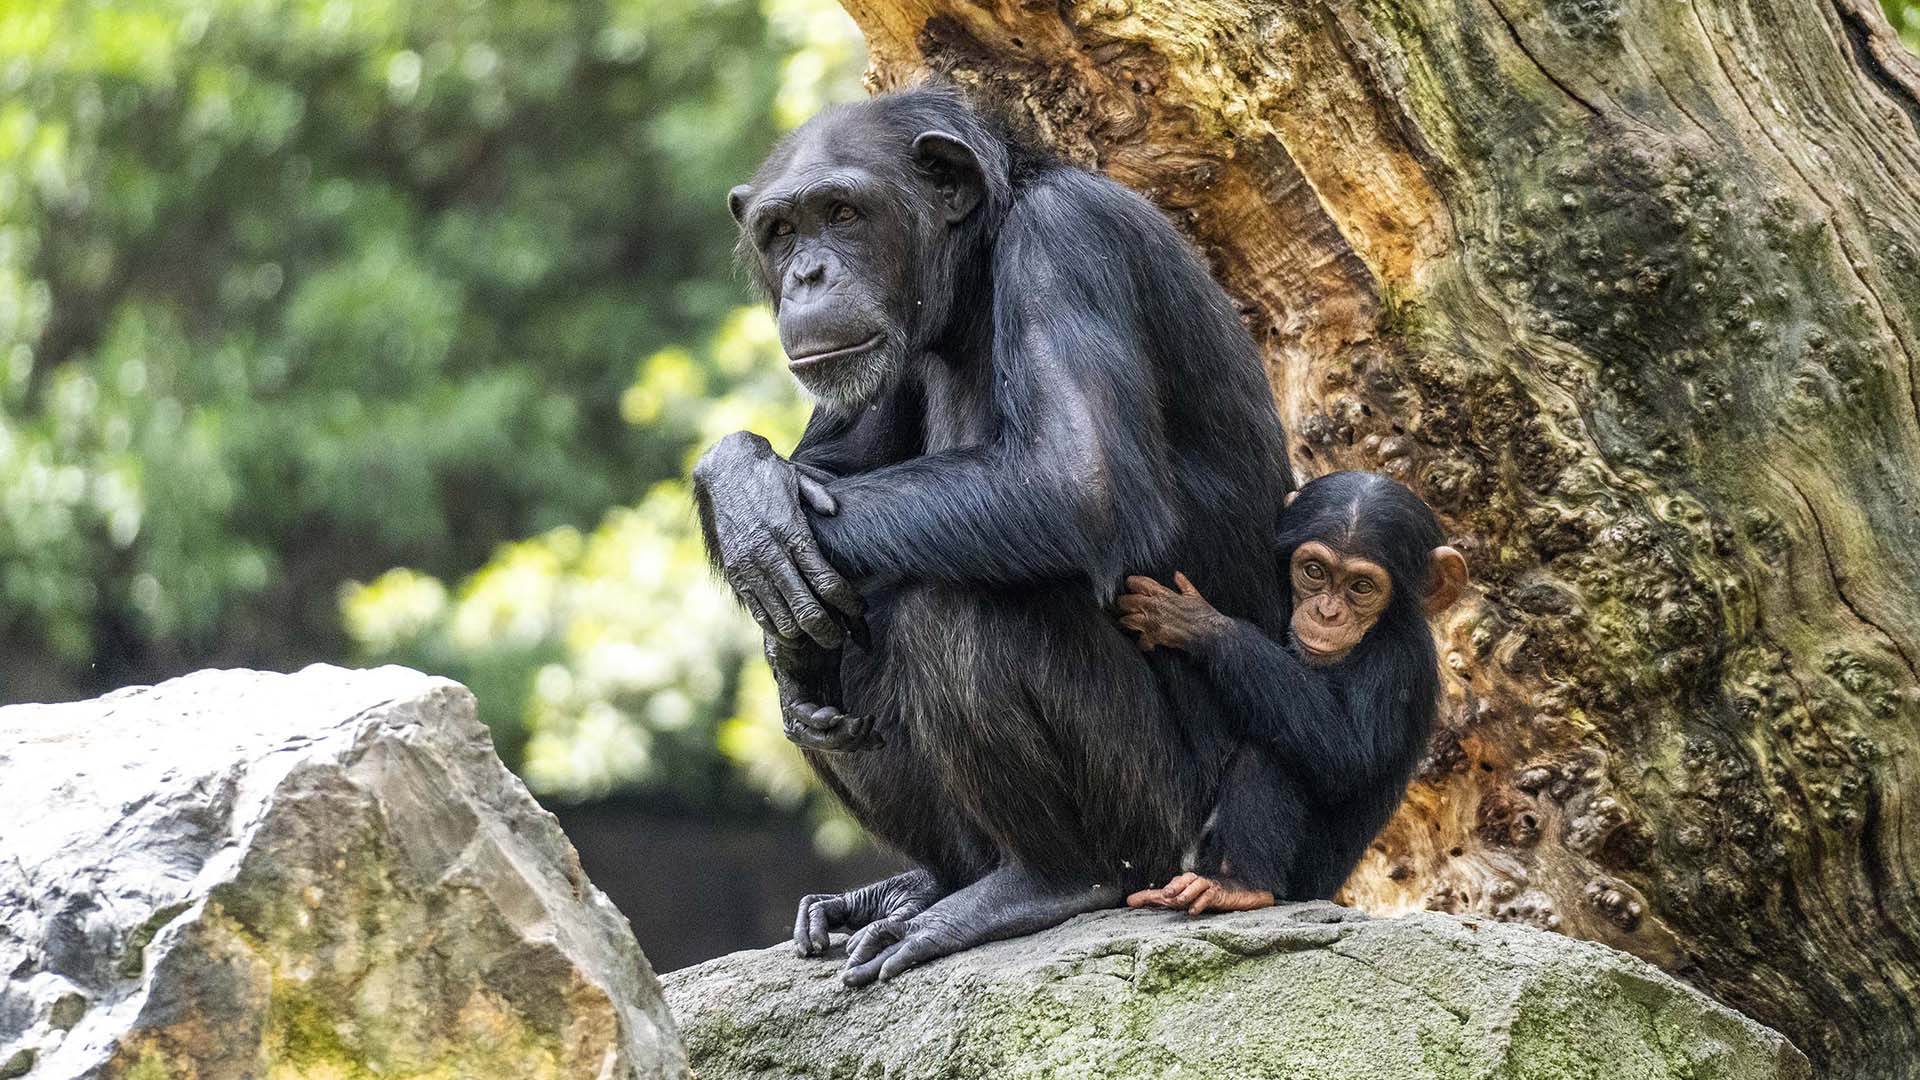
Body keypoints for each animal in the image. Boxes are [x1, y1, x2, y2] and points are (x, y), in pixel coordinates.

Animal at [691, 88, 1290, 980]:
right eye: (782, 230)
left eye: (842, 213)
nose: (808, 273)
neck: (972, 279)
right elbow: (830, 460)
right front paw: (741, 490)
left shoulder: (1066, 244)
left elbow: (1078, 481)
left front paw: (757, 516)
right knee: (821, 632)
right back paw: (911, 886)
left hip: (1171, 829)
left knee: (957, 601)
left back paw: (1040, 883)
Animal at [1121, 468, 1459, 907]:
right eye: (1314, 571)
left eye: (1362, 587)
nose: (1327, 613)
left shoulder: (1399, 660)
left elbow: (1348, 751)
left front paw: (1197, 623)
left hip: (1309, 880)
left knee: (1275, 752)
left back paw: (1238, 886)